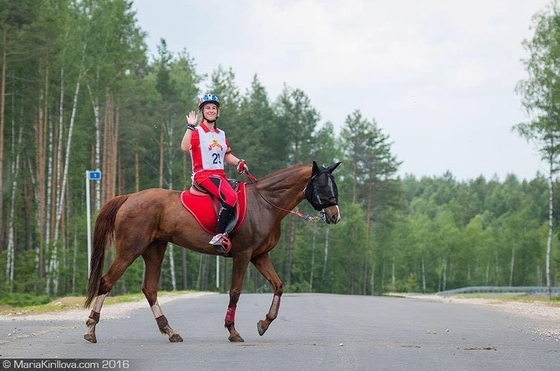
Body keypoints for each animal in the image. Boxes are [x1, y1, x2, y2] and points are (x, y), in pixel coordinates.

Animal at [81, 161, 340, 344]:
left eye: (334, 186)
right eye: (322, 186)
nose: (335, 215)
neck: (264, 204)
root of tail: (129, 198)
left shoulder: (259, 256)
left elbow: (278, 285)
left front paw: (264, 323)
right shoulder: (244, 254)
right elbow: (235, 291)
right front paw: (232, 331)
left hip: (154, 249)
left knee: (150, 289)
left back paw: (170, 331)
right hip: (131, 249)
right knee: (106, 282)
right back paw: (91, 329)